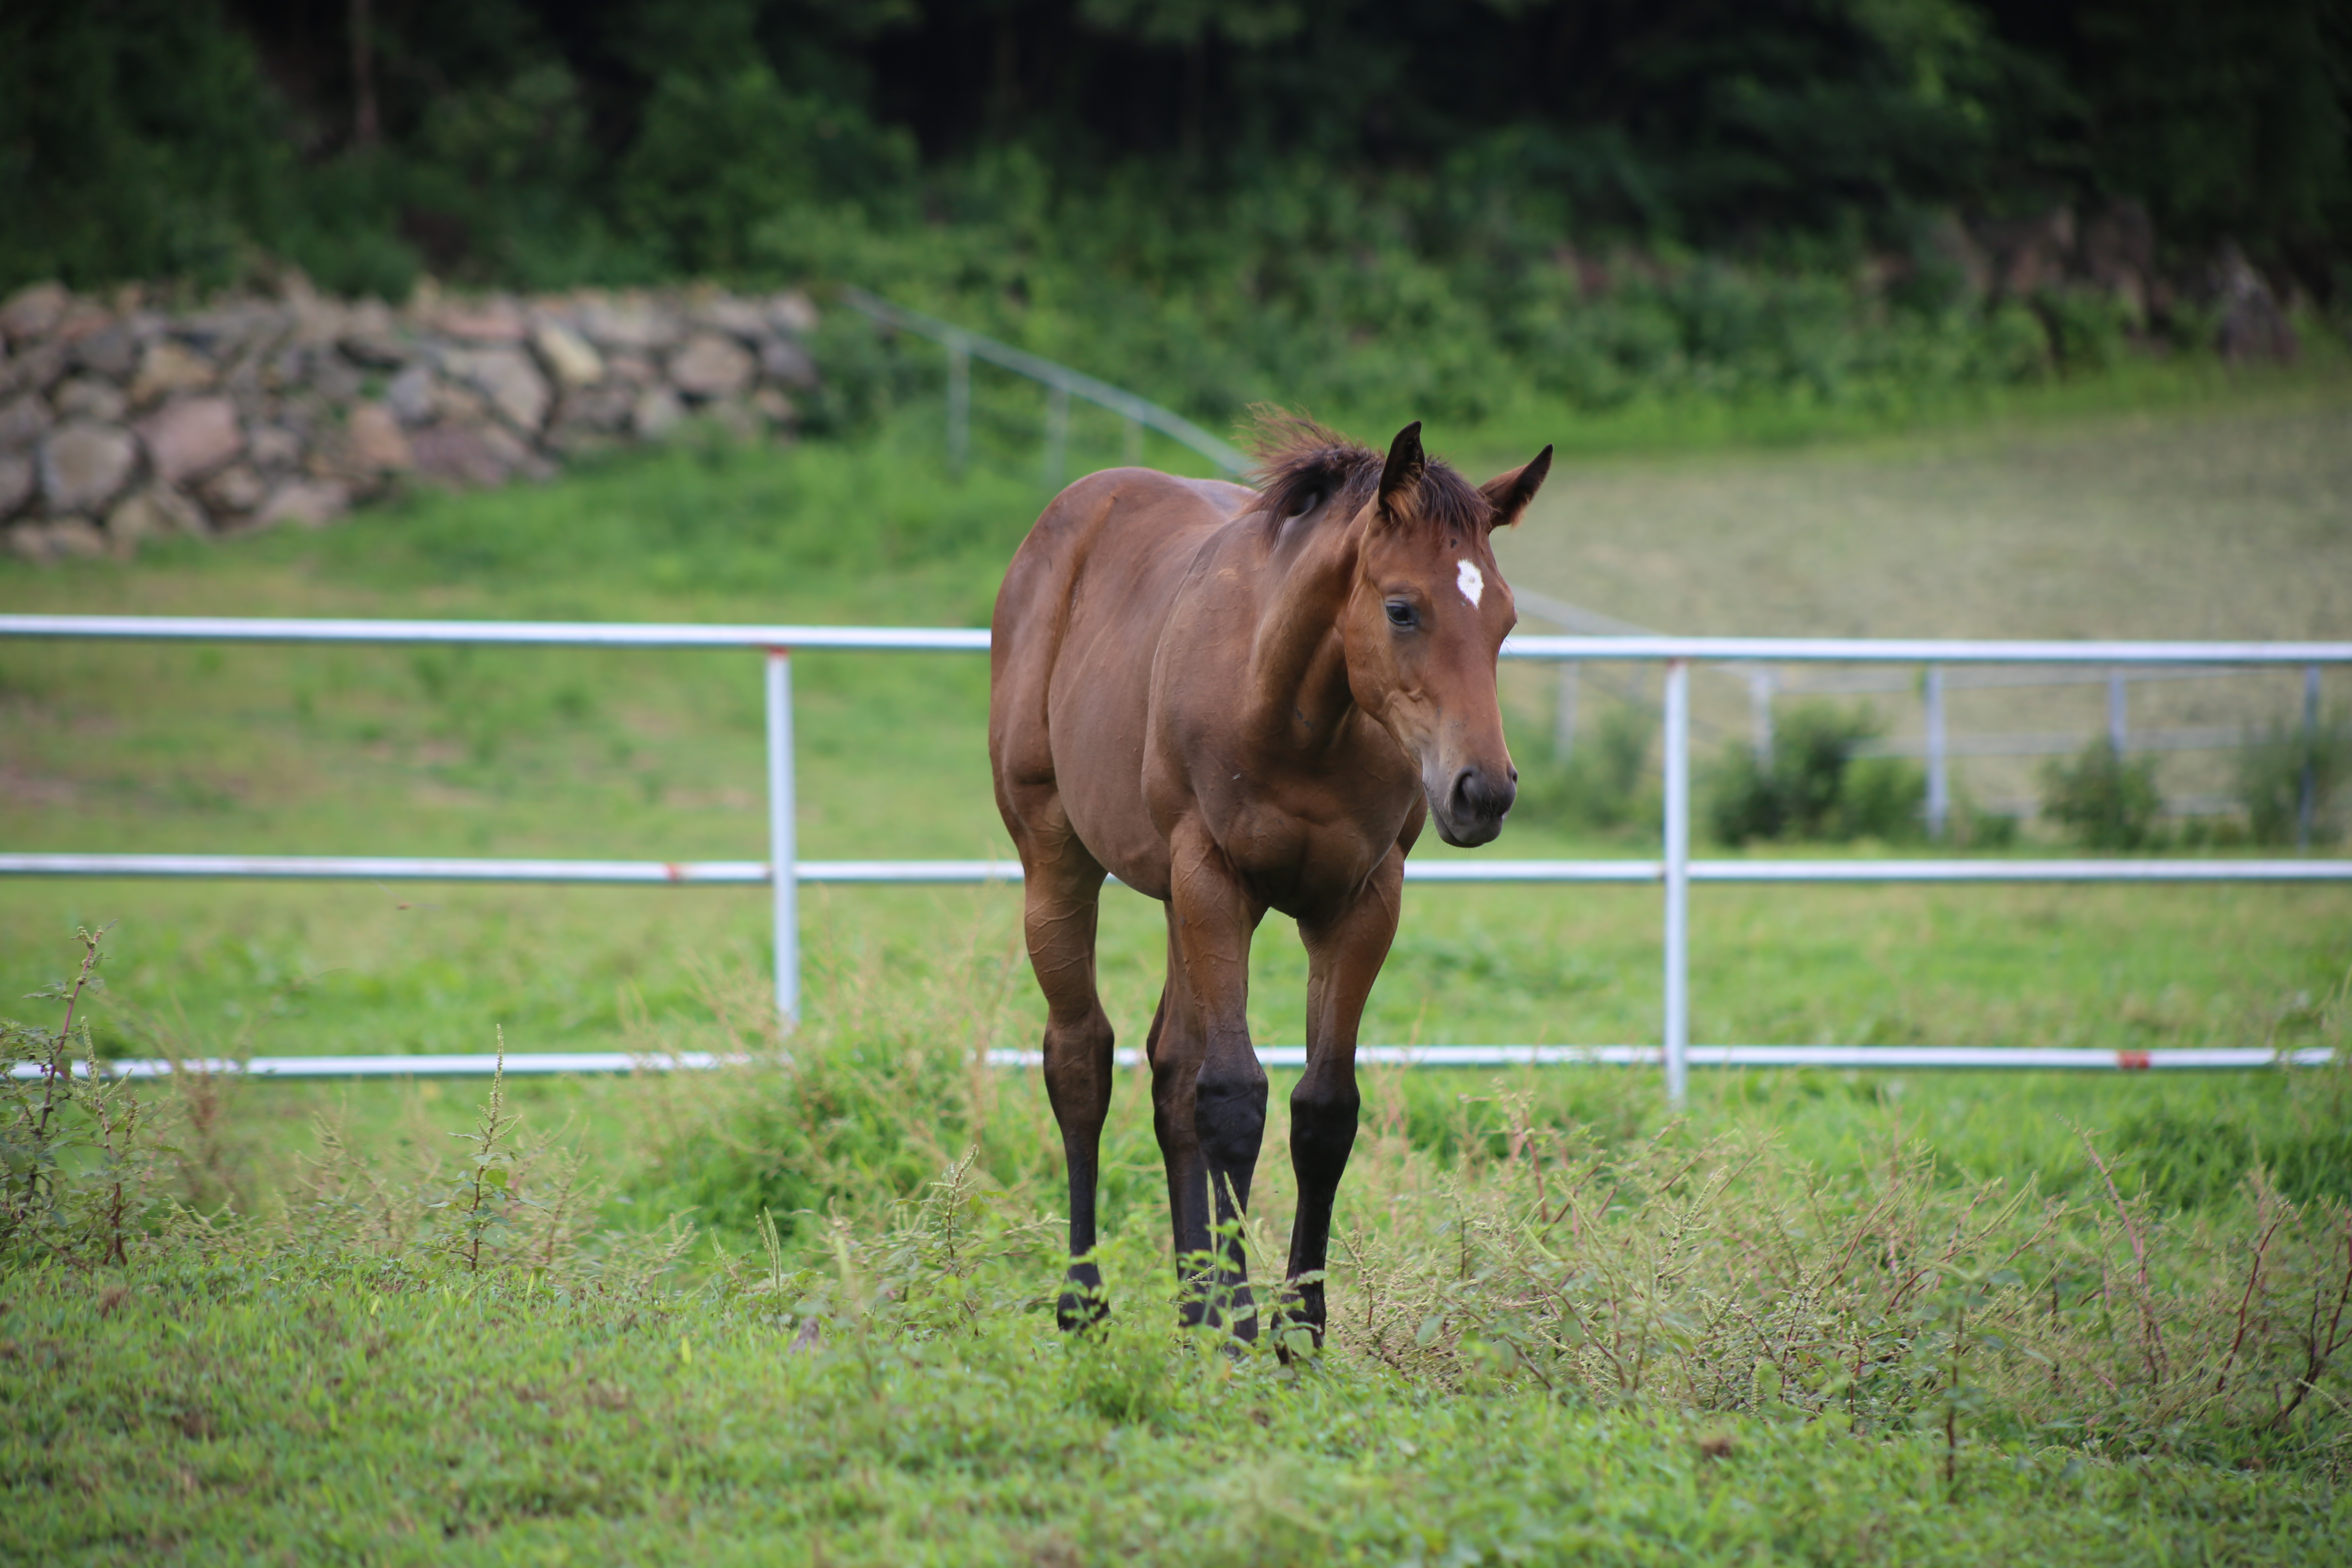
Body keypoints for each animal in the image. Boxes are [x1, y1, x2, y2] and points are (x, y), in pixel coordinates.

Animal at [988, 414, 1552, 1335]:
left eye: (1504, 620)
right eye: (1402, 608)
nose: (1484, 791)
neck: (1299, 715)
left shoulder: (1363, 900)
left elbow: (1321, 1109)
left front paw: (1297, 1330)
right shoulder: (1214, 876)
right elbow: (1231, 1097)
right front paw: (1241, 1326)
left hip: (1178, 899)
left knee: (1168, 1067)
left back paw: (1190, 1306)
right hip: (1057, 855)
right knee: (1082, 1058)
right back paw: (1085, 1306)